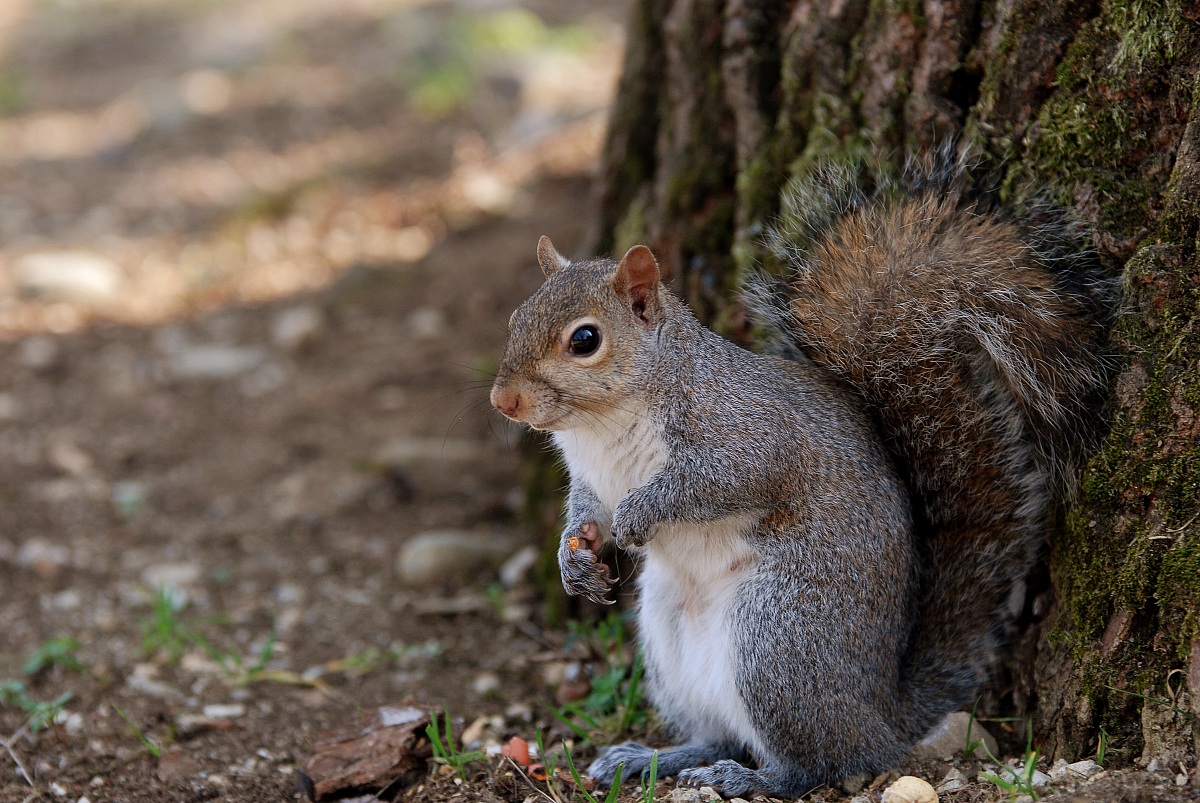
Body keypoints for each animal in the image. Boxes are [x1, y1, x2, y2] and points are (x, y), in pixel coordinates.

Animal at [489, 150, 1113, 798]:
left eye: (585, 339)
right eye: (516, 318)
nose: (503, 401)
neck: (601, 426)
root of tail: (879, 713)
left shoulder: (746, 439)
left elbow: (711, 484)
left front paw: (641, 513)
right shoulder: (591, 477)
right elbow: (586, 510)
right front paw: (575, 554)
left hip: (778, 641)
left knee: (822, 762)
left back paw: (753, 778)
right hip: (671, 640)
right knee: (721, 733)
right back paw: (652, 757)